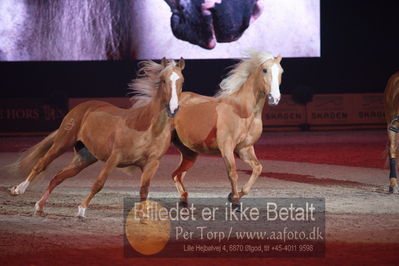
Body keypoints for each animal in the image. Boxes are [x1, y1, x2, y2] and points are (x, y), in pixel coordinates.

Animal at [7, 57, 186, 216]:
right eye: (163, 80)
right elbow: (99, 183)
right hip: (62, 143)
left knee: (58, 177)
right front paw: (81, 210)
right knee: (41, 163)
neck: (147, 128)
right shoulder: (114, 158)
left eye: (181, 82)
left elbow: (144, 190)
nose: (173, 108)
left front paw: (142, 217)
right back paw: (19, 189)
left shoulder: (151, 164)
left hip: (84, 157)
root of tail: (84, 106)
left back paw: (39, 206)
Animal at [173, 52, 284, 206]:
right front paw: (235, 200)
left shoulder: (244, 148)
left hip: (189, 152)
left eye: (281, 72)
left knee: (176, 175)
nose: (275, 98)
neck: (242, 111)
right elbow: (233, 173)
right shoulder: (226, 147)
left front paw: (233, 195)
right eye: (265, 70)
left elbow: (257, 168)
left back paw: (183, 198)